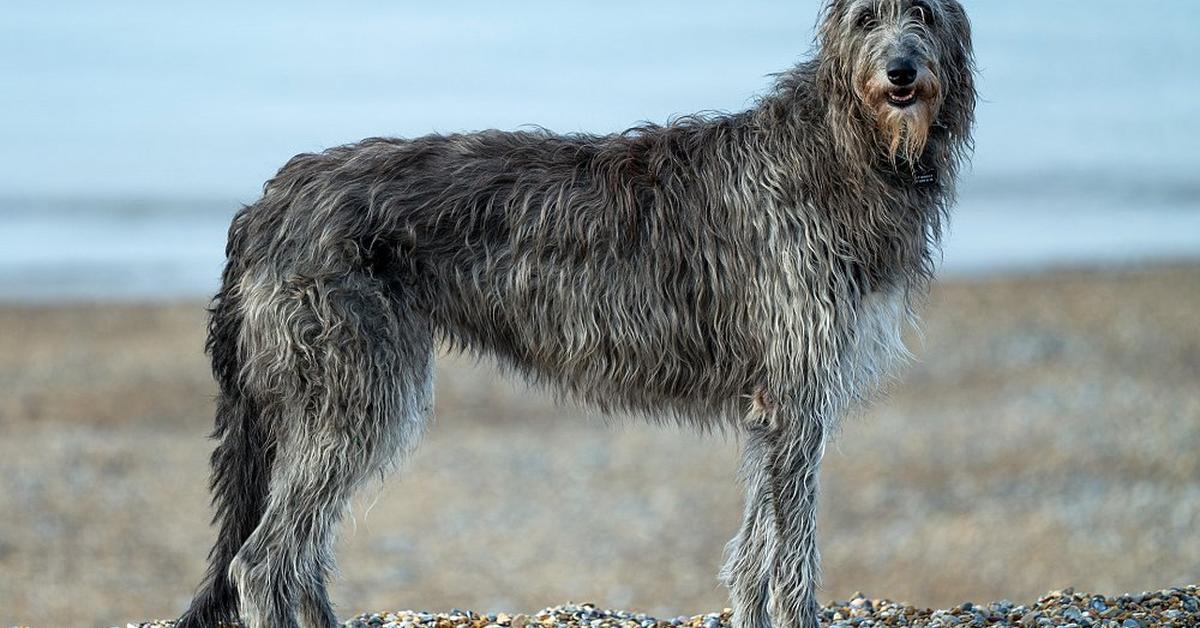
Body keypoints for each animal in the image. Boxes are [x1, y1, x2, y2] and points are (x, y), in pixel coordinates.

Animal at [177, 2, 969, 624]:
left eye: (923, 11)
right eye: (866, 15)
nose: (901, 74)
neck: (837, 148)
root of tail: (265, 204)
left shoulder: (776, 403)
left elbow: (754, 557)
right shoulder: (796, 394)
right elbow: (791, 558)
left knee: (300, 557)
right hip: (352, 385)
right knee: (264, 562)